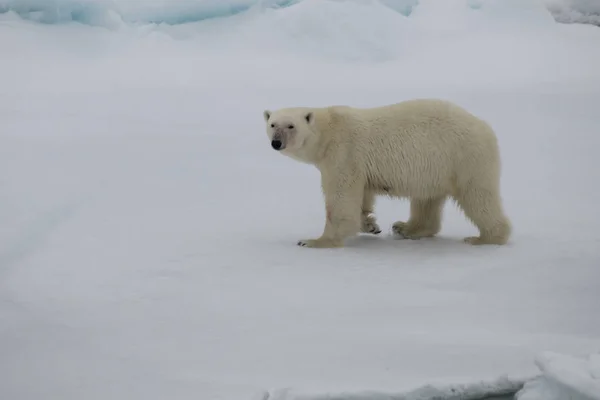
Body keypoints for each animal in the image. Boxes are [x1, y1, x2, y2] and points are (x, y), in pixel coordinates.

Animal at [262, 97, 510, 247]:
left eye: (291, 125)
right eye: (273, 124)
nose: (276, 143)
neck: (329, 129)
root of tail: (486, 128)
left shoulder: (343, 152)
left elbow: (341, 197)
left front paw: (315, 241)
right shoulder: (356, 164)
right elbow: (362, 194)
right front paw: (370, 225)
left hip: (465, 158)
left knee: (478, 196)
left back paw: (485, 238)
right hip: (435, 168)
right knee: (427, 199)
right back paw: (406, 228)